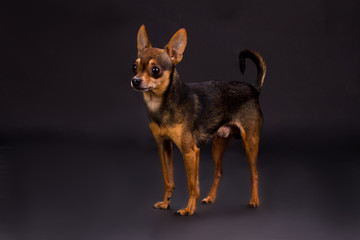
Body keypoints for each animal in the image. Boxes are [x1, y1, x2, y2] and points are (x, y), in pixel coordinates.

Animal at [131, 24, 266, 216]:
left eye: (155, 70)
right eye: (134, 67)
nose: (135, 80)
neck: (162, 104)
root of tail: (253, 89)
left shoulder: (190, 151)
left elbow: (192, 184)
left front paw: (189, 209)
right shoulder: (163, 146)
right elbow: (168, 179)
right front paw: (166, 203)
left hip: (250, 142)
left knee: (254, 173)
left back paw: (254, 200)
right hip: (219, 143)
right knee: (219, 172)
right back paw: (210, 198)